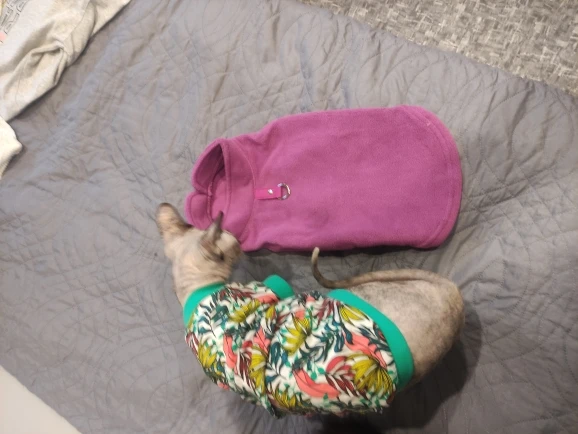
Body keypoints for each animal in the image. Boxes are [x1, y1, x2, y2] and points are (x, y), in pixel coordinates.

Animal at [156, 203, 464, 417]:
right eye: (231, 240)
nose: (240, 240)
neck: (194, 290)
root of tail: (454, 299)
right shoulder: (269, 289)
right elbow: (277, 286)